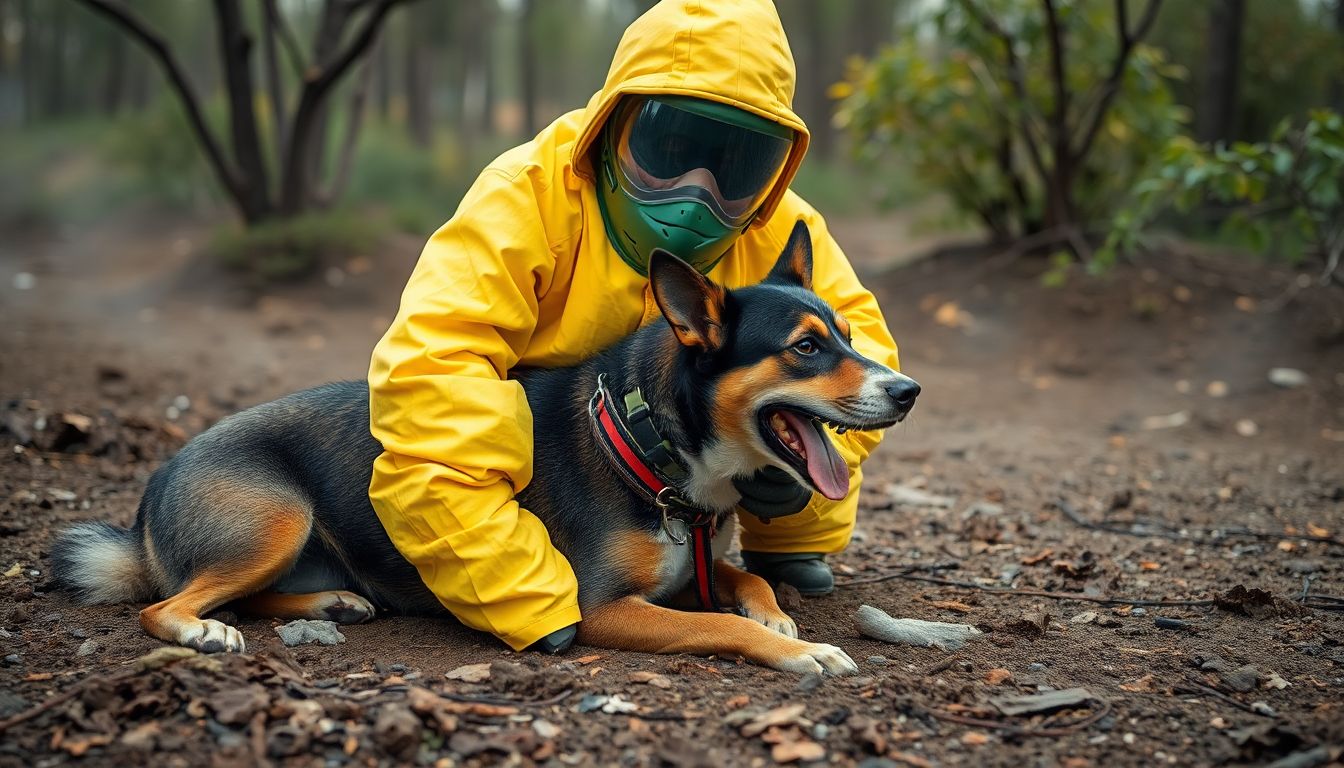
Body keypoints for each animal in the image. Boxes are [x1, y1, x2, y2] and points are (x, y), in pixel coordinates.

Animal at [49, 221, 913, 677]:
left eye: (846, 333)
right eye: (806, 348)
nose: (907, 391)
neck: (652, 444)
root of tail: (151, 493)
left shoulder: (698, 564)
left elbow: (748, 581)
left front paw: (776, 616)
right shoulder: (600, 608)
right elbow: (715, 626)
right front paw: (799, 650)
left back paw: (330, 603)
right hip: (274, 520)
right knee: (168, 605)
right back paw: (202, 630)